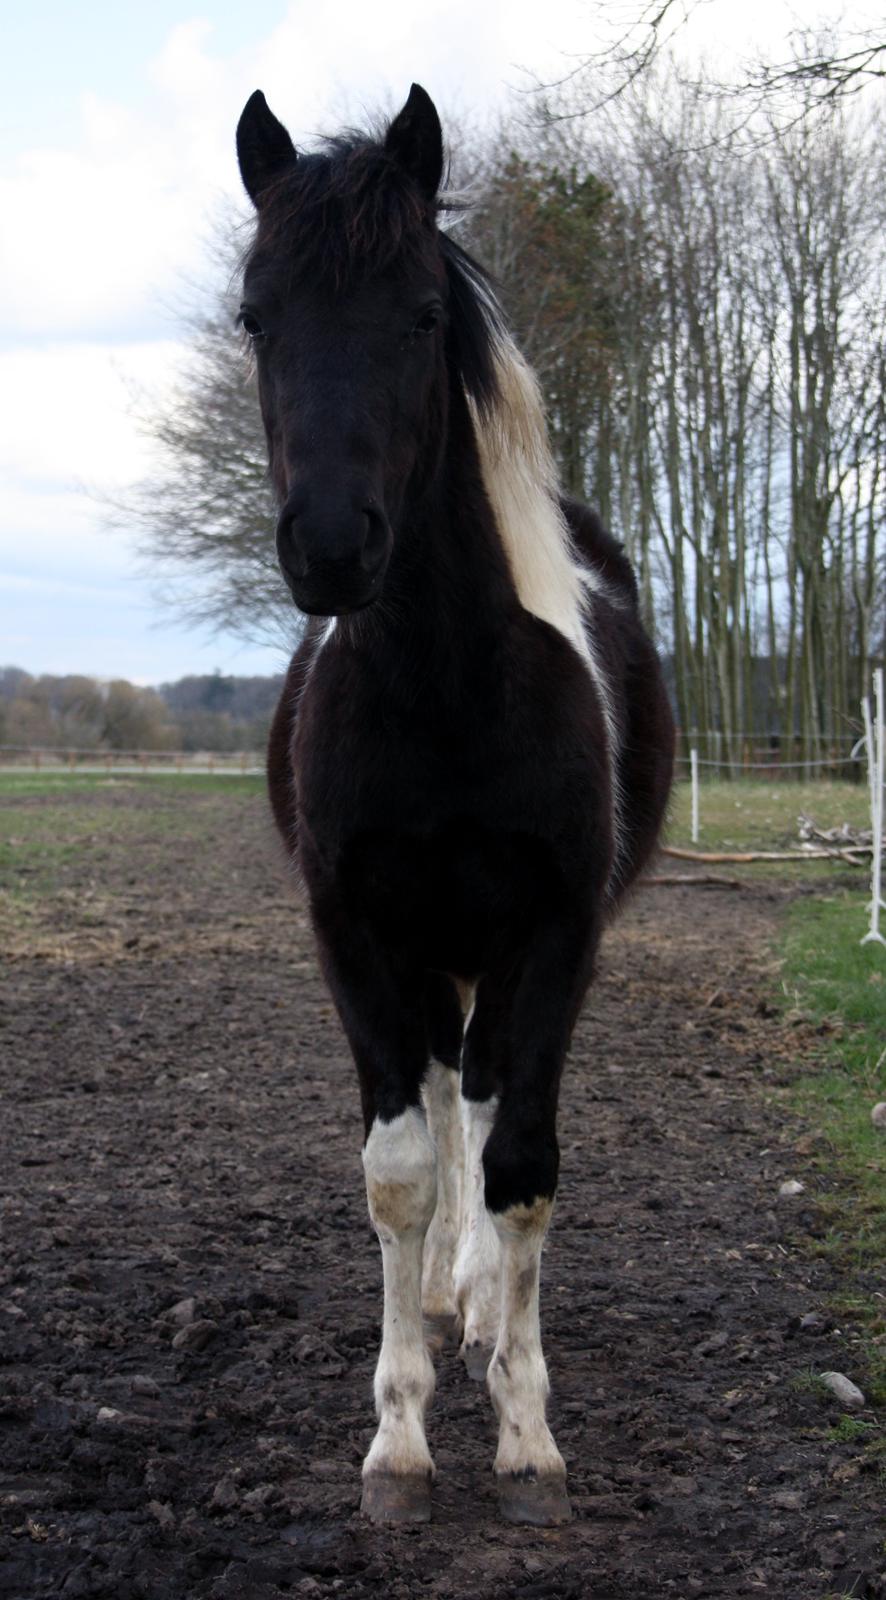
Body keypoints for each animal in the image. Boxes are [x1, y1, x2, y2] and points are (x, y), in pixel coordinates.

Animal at [235, 81, 668, 1529]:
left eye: (422, 314)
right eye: (256, 316)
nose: (329, 546)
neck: (443, 684)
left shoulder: (556, 936)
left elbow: (519, 1164)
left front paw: (525, 1432)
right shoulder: (357, 936)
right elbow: (400, 1170)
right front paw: (400, 1438)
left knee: (480, 1111)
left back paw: (480, 1309)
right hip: (432, 958)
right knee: (440, 1103)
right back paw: (442, 1300)